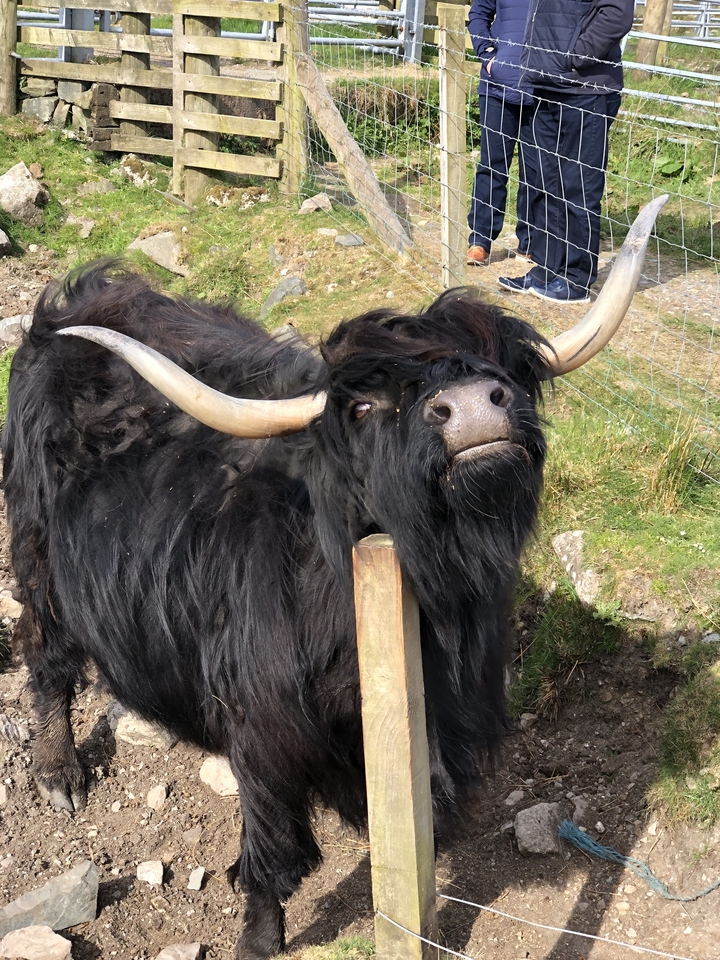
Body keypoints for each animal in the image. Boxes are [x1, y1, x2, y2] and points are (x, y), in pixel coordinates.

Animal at [2, 197, 665, 960]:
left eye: (510, 367)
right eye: (365, 406)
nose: (474, 405)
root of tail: (73, 304)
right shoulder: (262, 730)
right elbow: (271, 854)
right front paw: (258, 940)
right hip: (36, 556)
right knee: (46, 658)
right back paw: (60, 775)